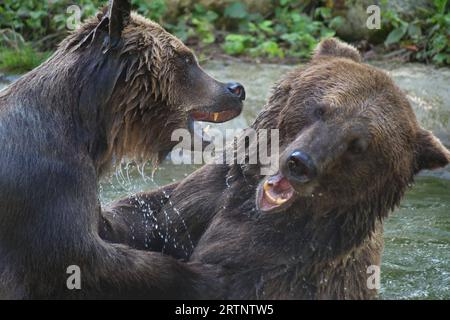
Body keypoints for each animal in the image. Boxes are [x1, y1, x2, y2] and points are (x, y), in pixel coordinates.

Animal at [0, 0, 244, 300]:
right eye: (187, 58)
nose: (236, 89)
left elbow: (115, 227)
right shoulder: (46, 185)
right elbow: (80, 259)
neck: (84, 127)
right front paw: (212, 277)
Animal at [102, 38, 450, 300]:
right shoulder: (211, 192)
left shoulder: (283, 261)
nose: (300, 163)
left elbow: (211, 278)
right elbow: (150, 216)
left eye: (357, 145)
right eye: (322, 109)